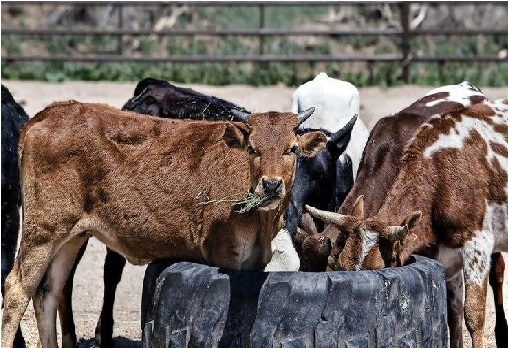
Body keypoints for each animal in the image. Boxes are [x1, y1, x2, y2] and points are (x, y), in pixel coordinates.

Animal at [0, 100, 326, 348]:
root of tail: (49, 114)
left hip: (71, 236)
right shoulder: (225, 256)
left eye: (292, 149)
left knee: (48, 292)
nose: (270, 185)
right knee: (17, 288)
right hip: (43, 231)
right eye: (252, 148)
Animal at [306, 85, 508, 348]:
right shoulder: (447, 257)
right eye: (340, 267)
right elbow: (453, 312)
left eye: (379, 268)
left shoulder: (477, 244)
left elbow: (473, 315)